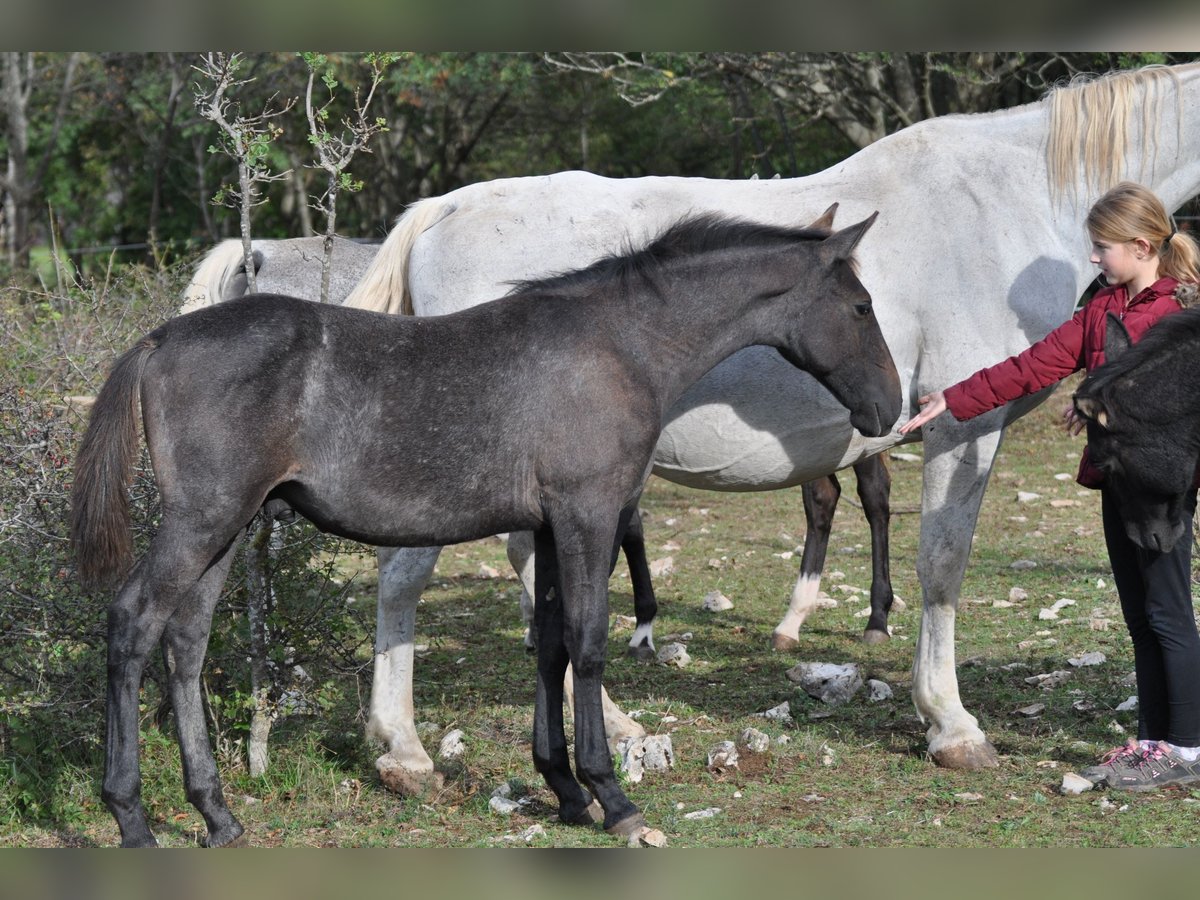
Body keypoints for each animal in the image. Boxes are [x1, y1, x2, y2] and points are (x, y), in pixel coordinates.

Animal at [72, 214, 902, 849]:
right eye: (861, 306)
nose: (890, 409)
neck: (619, 344)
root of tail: (159, 340)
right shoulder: (588, 514)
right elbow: (589, 643)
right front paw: (614, 800)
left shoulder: (548, 527)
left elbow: (552, 644)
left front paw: (564, 789)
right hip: (203, 521)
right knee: (133, 622)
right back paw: (133, 818)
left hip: (227, 530)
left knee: (185, 642)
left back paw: (217, 815)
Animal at [324, 60, 1200, 787]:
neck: (1011, 195)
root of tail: (442, 210)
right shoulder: (964, 433)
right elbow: (943, 568)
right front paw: (951, 725)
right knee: (408, 577)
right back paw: (405, 751)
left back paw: (612, 724)